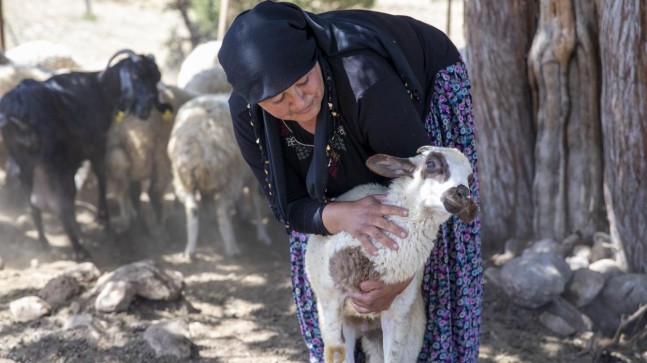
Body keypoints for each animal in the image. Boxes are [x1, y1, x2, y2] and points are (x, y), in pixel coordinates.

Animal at [0, 49, 170, 262]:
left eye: (156, 76)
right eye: (135, 76)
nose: (146, 108)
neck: (99, 87)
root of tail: (16, 112)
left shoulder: (76, 157)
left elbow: (75, 192)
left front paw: (82, 225)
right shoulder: (96, 146)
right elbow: (101, 178)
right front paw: (103, 218)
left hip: (24, 164)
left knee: (33, 203)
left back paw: (44, 243)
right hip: (51, 163)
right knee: (55, 203)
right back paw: (80, 250)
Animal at [168, 92, 272, 260]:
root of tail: (197, 146)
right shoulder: (251, 176)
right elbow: (255, 203)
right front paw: (262, 235)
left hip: (184, 180)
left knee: (192, 209)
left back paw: (190, 249)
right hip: (226, 178)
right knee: (222, 212)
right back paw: (232, 247)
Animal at [304, 146, 476, 363]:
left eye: (470, 179)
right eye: (431, 164)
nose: (462, 194)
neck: (375, 263)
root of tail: (366, 327)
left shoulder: (396, 313)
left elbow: (392, 358)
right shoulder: (330, 301)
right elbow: (336, 353)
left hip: (411, 328)